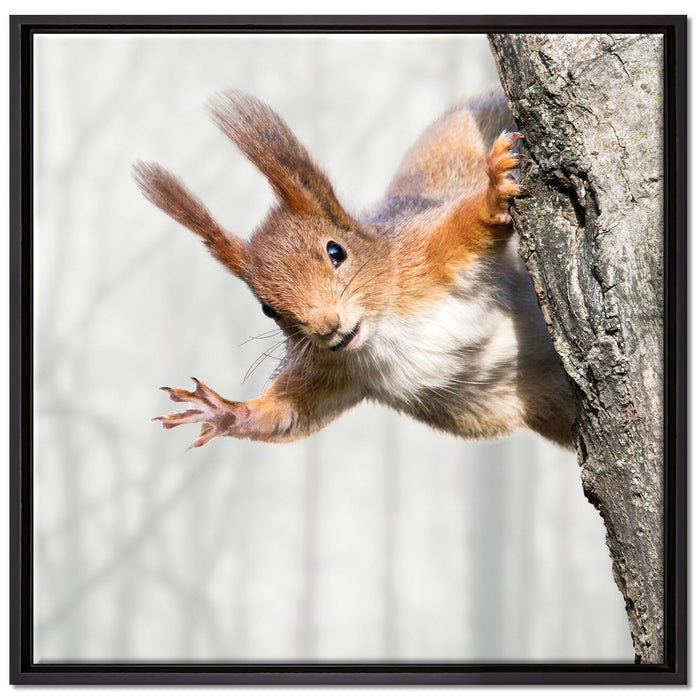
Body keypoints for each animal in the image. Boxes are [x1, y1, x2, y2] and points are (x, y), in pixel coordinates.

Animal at [134, 86, 576, 451]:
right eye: (267, 309)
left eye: (336, 252)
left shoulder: (424, 254)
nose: (327, 328)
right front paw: (225, 411)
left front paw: (493, 192)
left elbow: (467, 224)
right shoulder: (333, 370)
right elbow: (290, 413)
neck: (384, 329)